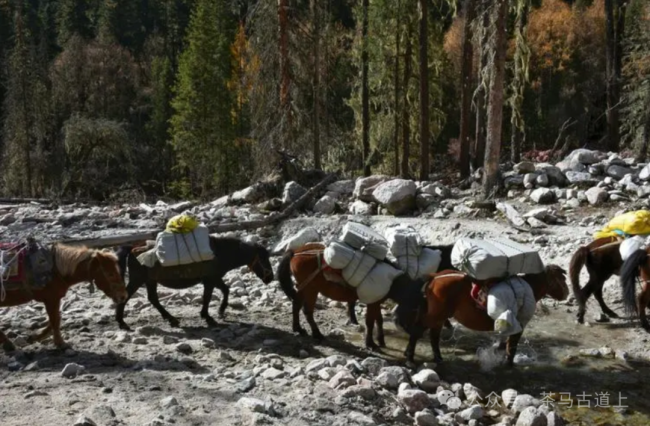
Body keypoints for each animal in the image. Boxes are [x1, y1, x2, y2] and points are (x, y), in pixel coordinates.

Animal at [114, 236, 270, 330]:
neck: (220, 252)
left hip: (150, 280)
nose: (270, 277)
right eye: (264, 257)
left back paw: (171, 319)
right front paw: (208, 317)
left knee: (153, 299)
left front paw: (220, 311)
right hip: (138, 279)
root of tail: (132, 248)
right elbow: (208, 297)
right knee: (127, 297)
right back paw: (122, 322)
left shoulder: (214, 279)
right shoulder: (210, 280)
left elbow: (225, 290)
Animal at [274, 243, 422, 350]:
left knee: (296, 304)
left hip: (303, 286)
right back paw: (317, 334)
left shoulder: (376, 301)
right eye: (416, 311)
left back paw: (298, 329)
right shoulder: (372, 302)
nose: (416, 334)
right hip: (311, 289)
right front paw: (371, 344)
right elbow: (370, 322)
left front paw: (381, 341)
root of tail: (296, 251)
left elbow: (379, 320)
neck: (393, 282)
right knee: (307, 311)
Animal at [392, 262, 564, 366]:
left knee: (432, 336)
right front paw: (509, 363)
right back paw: (410, 359)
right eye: (561, 278)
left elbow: (505, 341)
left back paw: (436, 358)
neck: (528, 287)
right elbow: (512, 344)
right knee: (418, 331)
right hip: (436, 316)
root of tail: (435, 277)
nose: (566, 294)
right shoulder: (520, 323)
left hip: (438, 317)